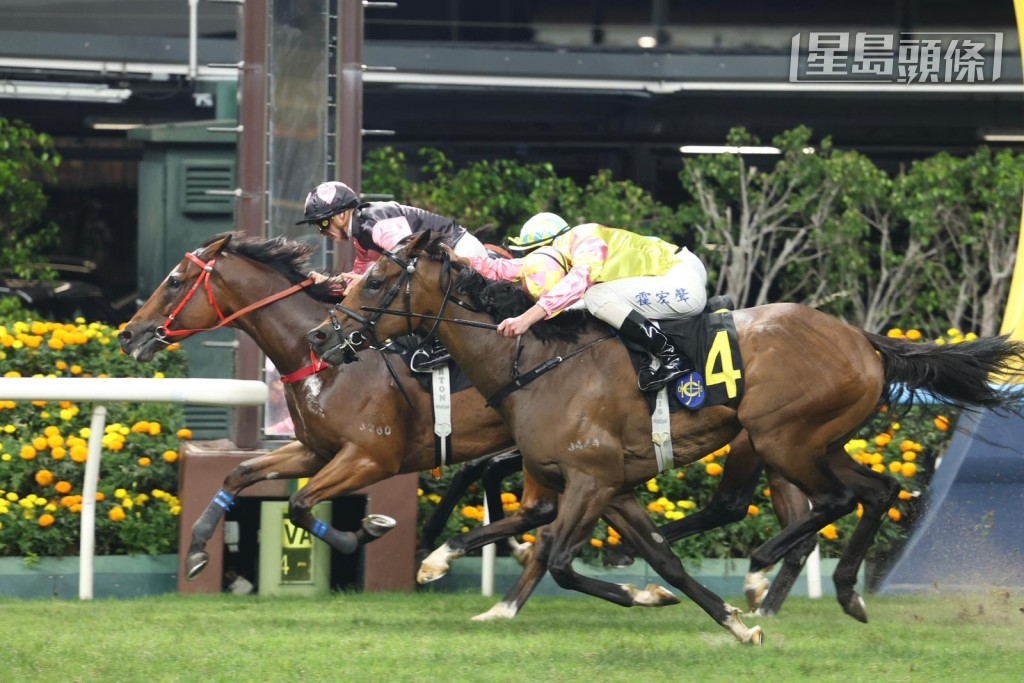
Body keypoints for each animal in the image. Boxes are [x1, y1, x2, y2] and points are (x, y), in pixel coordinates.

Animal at [117, 232, 812, 617]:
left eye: (175, 280)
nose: (129, 334)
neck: (326, 360)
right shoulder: (315, 450)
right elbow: (239, 474)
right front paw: (199, 554)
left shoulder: (370, 456)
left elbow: (301, 505)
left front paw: (367, 530)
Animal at [306, 230, 1024, 644]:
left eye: (377, 279)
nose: (321, 335)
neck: (533, 360)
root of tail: (863, 339)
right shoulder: (606, 485)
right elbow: (652, 559)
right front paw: (719, 618)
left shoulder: (591, 479)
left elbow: (559, 558)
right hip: (817, 441)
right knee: (876, 491)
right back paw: (844, 592)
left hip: (781, 438)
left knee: (830, 501)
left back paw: (762, 569)